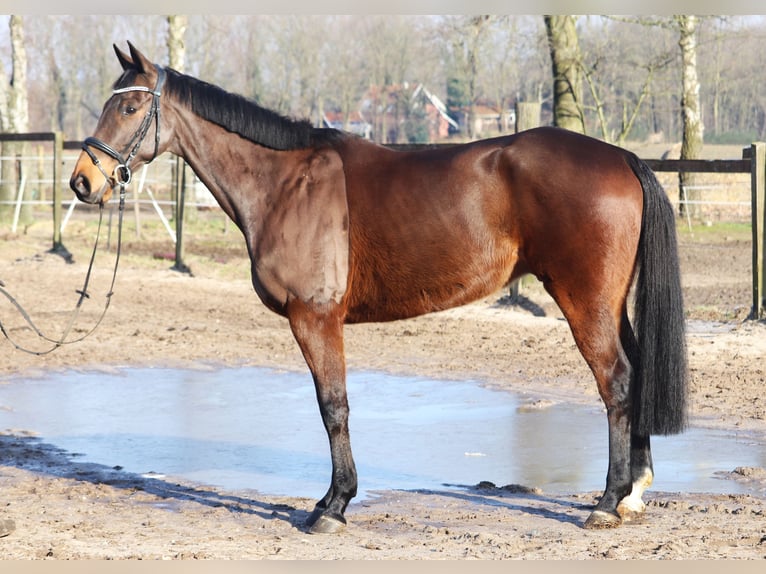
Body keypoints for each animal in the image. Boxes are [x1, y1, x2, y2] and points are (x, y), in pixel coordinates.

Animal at [70, 44, 688, 536]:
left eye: (129, 106)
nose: (82, 180)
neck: (286, 182)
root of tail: (621, 157)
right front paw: (329, 500)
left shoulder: (315, 318)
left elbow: (333, 407)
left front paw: (334, 506)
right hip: (610, 304)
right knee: (636, 373)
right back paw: (633, 493)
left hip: (585, 302)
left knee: (617, 382)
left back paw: (607, 502)